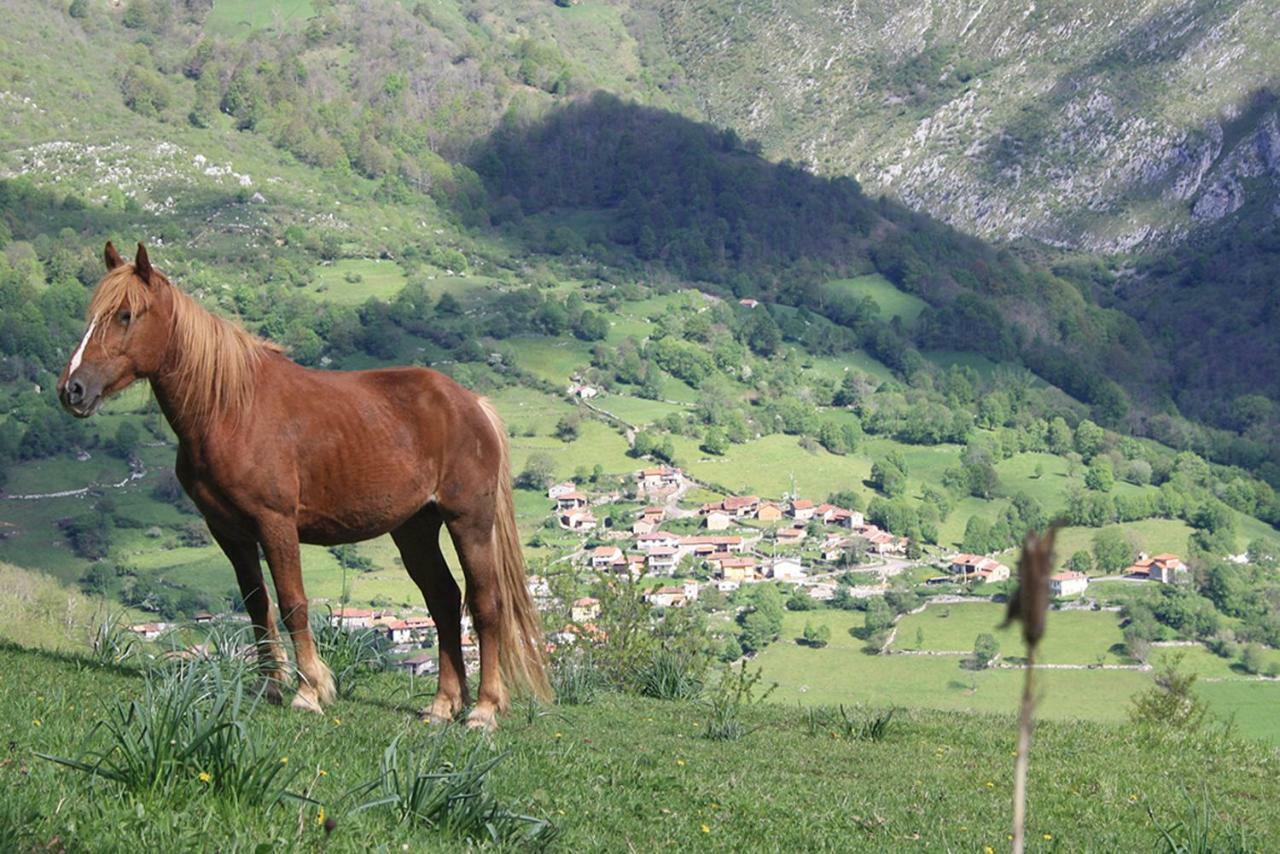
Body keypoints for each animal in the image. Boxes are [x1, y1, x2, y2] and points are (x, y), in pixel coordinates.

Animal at [60, 240, 550, 727]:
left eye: (126, 314)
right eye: (94, 313)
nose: (73, 390)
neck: (230, 409)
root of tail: (471, 403)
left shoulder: (275, 523)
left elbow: (292, 602)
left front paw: (309, 690)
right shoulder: (230, 531)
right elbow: (257, 604)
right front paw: (270, 688)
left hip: (469, 522)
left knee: (485, 605)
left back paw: (483, 710)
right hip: (415, 528)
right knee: (444, 602)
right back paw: (443, 704)